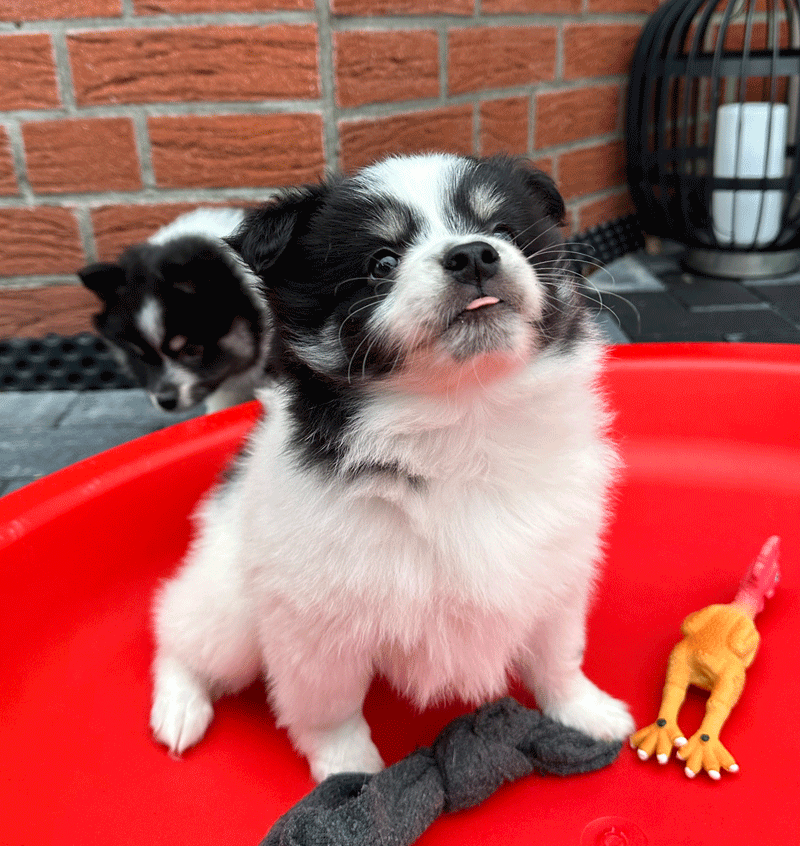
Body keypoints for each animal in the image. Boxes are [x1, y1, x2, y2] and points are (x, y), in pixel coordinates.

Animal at [150, 154, 634, 782]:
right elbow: (331, 710)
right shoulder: (316, 621)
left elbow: (558, 657)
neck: (462, 415)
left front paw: (584, 710)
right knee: (178, 631)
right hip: (228, 609)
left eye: (503, 232)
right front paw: (349, 773)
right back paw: (179, 705)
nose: (474, 254)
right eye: (381, 263)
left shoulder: (554, 573)